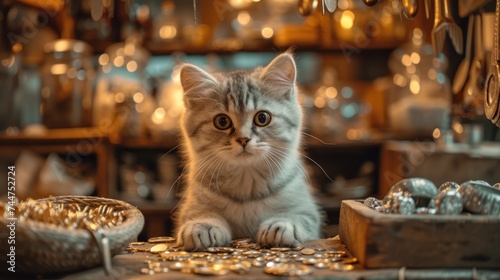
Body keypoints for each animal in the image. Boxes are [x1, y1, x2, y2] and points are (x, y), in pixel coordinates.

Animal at [174, 53, 322, 252]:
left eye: (262, 118)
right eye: (222, 121)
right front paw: (203, 225)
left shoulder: (307, 210)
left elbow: (299, 217)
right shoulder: (192, 206)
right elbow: (200, 214)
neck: (246, 185)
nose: (243, 139)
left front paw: (282, 224)